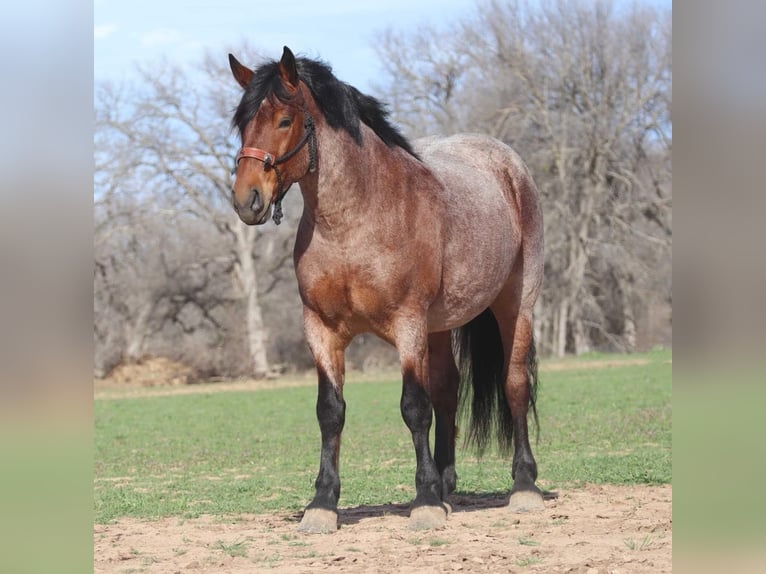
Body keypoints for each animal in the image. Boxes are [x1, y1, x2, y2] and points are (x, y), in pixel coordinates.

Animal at [228, 46, 544, 536]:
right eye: (242, 123)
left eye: (283, 120)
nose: (248, 200)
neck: (354, 221)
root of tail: (509, 165)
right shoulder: (322, 331)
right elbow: (330, 411)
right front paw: (322, 504)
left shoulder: (407, 324)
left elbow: (414, 406)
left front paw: (425, 502)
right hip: (439, 327)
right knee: (448, 390)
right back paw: (447, 484)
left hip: (515, 306)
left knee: (514, 385)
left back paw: (523, 486)